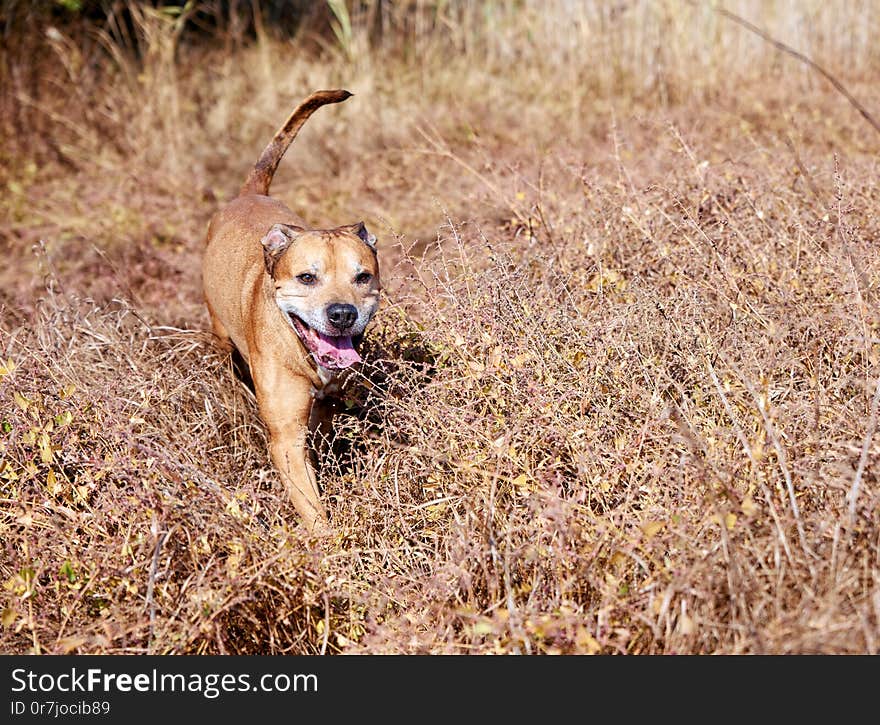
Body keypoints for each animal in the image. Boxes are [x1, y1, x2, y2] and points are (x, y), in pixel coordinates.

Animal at [203, 92, 382, 532]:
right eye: (307, 277)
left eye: (362, 276)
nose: (341, 314)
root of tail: (249, 193)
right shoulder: (286, 438)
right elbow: (313, 510)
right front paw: (329, 542)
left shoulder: (326, 409)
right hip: (220, 337)